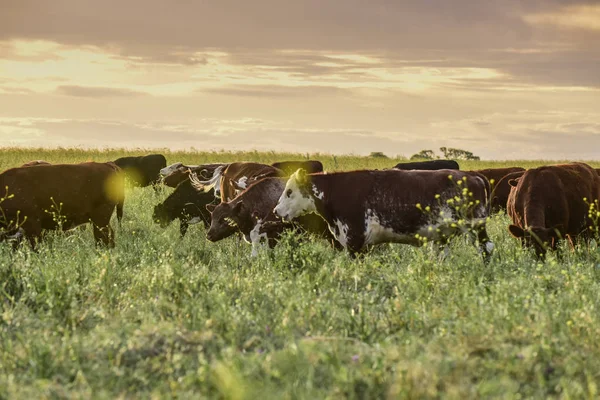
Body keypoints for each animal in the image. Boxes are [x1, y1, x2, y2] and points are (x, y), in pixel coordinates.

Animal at [272, 168, 492, 260]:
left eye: (289, 191)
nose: (276, 210)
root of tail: (472, 175)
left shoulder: (354, 238)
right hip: (443, 235)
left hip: (476, 225)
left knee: (486, 247)